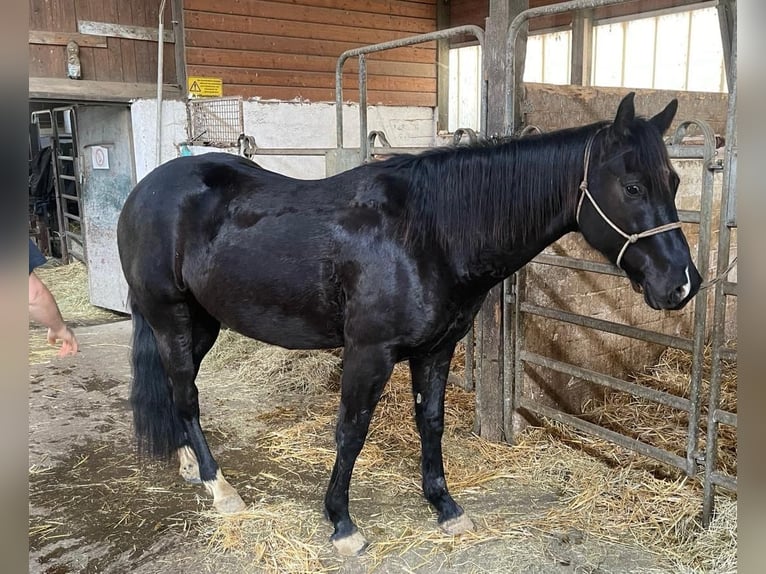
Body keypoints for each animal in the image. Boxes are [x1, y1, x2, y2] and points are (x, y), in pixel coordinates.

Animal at [116, 92, 701, 556]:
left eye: (673, 181)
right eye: (631, 186)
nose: (683, 283)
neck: (429, 234)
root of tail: (146, 191)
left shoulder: (436, 351)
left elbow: (432, 423)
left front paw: (445, 506)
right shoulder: (368, 353)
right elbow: (351, 431)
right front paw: (342, 523)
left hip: (201, 323)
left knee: (177, 387)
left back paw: (188, 465)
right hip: (169, 316)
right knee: (186, 393)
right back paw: (220, 489)